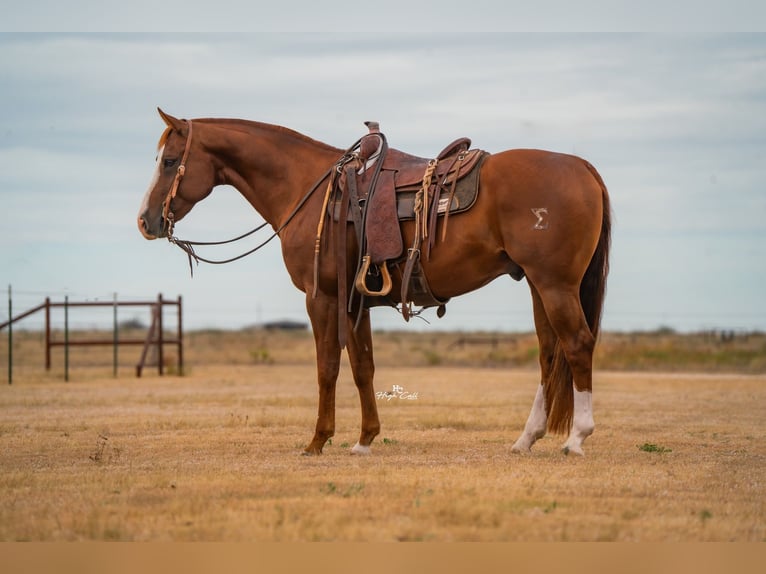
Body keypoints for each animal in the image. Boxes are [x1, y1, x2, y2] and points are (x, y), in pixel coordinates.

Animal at [137, 109, 611, 456]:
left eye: (169, 161)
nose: (146, 221)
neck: (307, 189)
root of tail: (583, 167)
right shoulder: (356, 300)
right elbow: (363, 367)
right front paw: (365, 439)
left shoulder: (323, 298)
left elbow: (327, 366)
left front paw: (318, 440)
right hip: (538, 285)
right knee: (549, 354)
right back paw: (526, 438)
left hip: (554, 285)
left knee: (577, 344)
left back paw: (577, 438)